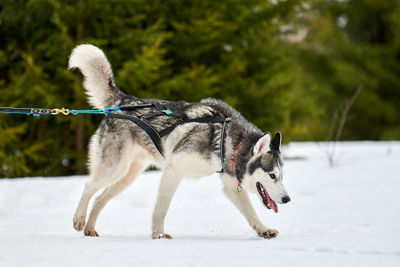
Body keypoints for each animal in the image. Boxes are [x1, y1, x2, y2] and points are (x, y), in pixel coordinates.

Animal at [69, 44, 290, 241]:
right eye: (272, 175)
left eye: (281, 176)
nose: (287, 199)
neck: (226, 138)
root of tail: (123, 101)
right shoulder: (173, 172)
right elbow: (161, 209)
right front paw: (159, 235)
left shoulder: (229, 184)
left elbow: (251, 213)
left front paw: (264, 230)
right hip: (113, 168)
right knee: (88, 186)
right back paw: (79, 219)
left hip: (127, 176)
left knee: (99, 198)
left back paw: (89, 229)